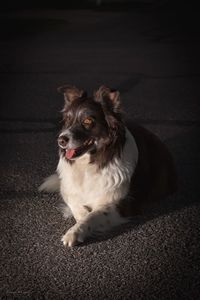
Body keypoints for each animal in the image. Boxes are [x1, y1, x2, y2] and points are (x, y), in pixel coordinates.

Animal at [38, 84, 177, 246]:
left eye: (87, 121)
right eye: (67, 119)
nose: (61, 140)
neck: (89, 164)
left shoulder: (120, 205)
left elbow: (93, 216)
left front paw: (75, 232)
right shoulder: (69, 191)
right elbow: (79, 209)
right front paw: (79, 220)